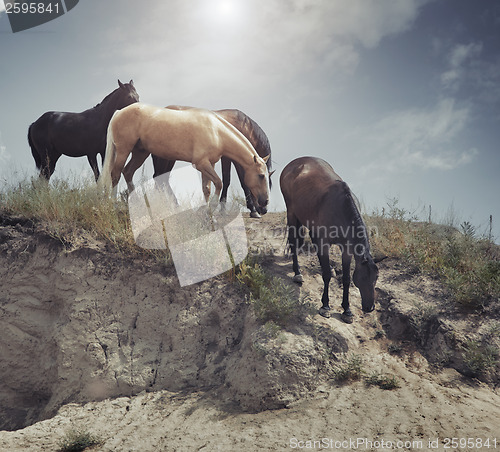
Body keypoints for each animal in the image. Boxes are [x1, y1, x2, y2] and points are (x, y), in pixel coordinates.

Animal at [100, 104, 272, 214]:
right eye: (261, 176)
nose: (265, 204)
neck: (216, 131)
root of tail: (119, 112)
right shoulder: (201, 164)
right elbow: (219, 183)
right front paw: (213, 207)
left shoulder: (209, 165)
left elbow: (207, 188)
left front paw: (207, 211)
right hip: (124, 150)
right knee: (115, 174)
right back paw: (115, 204)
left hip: (140, 153)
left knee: (128, 172)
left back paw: (139, 205)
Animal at [282, 157, 378, 324]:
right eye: (363, 278)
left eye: (376, 278)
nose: (370, 307)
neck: (341, 208)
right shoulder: (324, 243)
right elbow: (325, 274)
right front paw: (325, 306)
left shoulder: (347, 249)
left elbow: (346, 278)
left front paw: (347, 310)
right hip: (292, 214)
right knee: (294, 243)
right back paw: (297, 273)